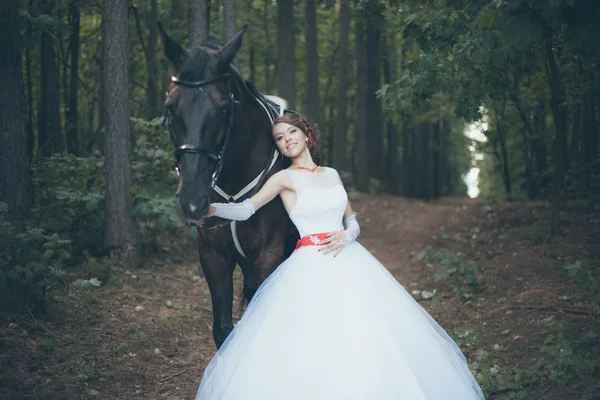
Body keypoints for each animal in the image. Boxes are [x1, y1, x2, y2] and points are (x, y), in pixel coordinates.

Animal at [158, 25, 298, 348]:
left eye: (223, 109)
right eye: (170, 108)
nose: (192, 200)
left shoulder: (269, 254)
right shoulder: (213, 254)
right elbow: (223, 329)